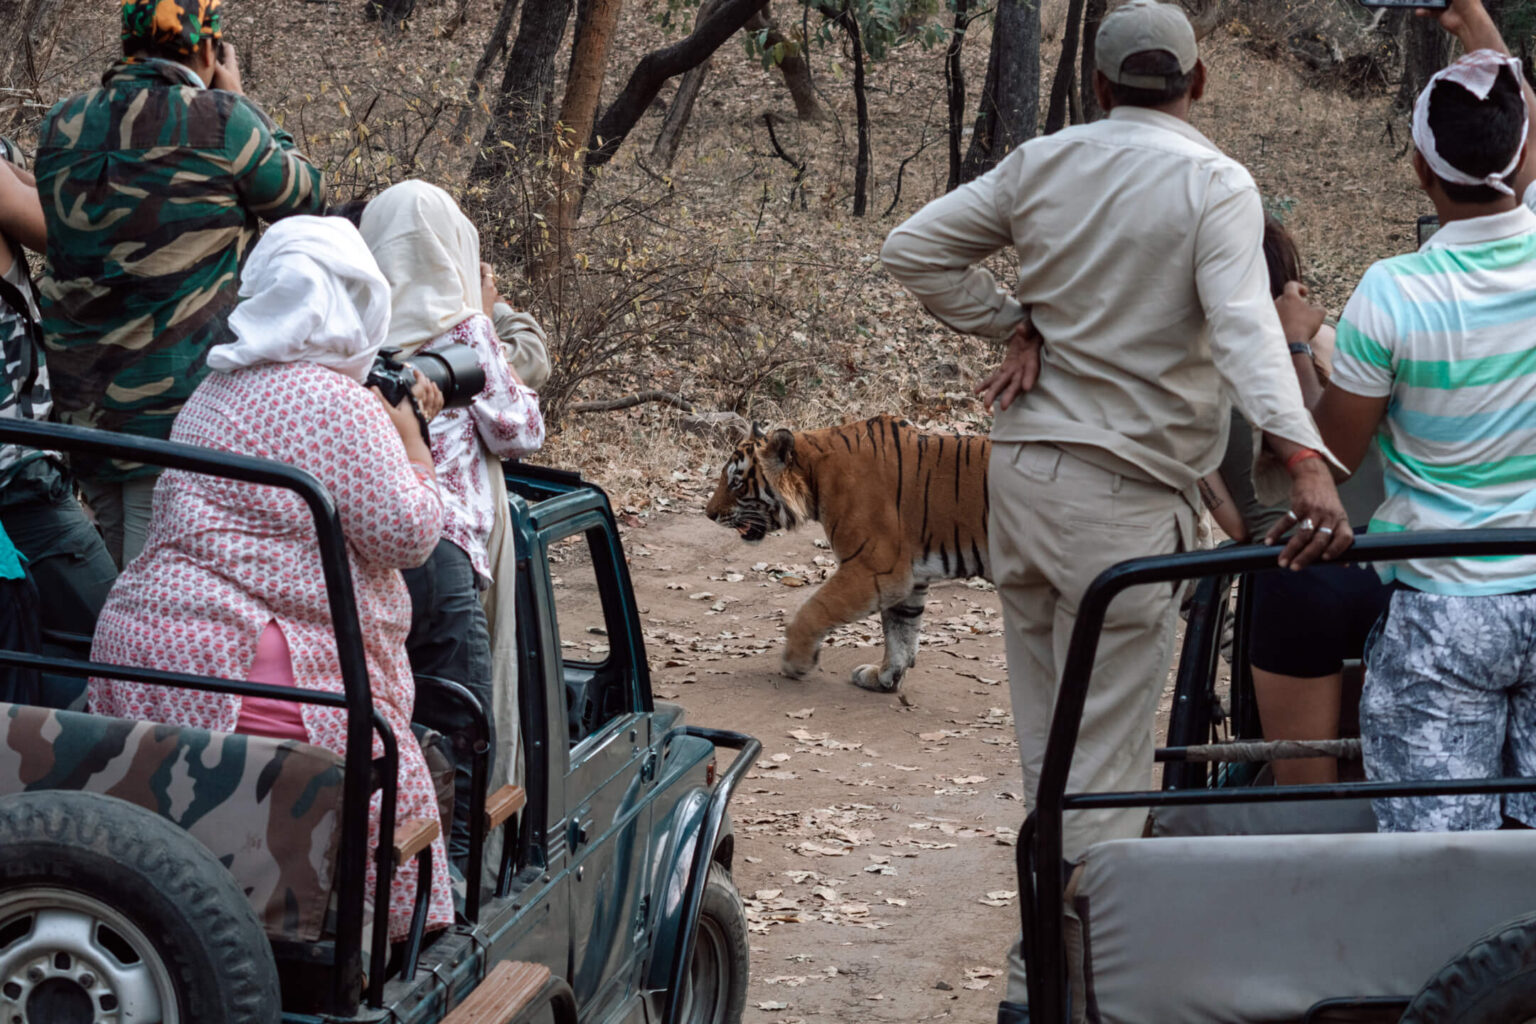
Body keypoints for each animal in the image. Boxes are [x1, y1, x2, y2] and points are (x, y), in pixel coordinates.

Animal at [703, 417, 989, 696]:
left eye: (736, 482)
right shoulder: (909, 577)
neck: (814, 475)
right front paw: (884, 678)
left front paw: (795, 662)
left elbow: (814, 608)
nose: (708, 513)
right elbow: (901, 631)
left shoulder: (875, 570)